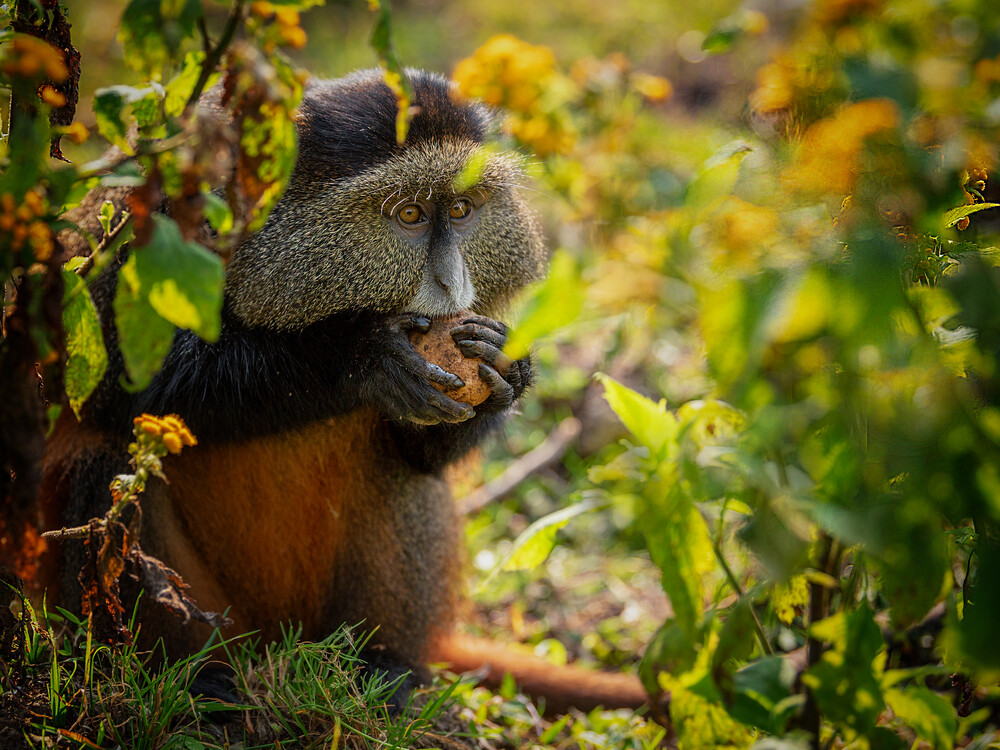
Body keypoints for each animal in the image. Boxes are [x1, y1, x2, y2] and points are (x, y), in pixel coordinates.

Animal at [37, 68, 651, 714]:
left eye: (461, 210)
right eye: (409, 215)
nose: (452, 282)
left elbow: (422, 458)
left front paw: (507, 372)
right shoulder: (129, 236)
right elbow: (116, 383)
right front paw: (361, 359)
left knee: (400, 479)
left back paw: (385, 667)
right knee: (108, 464)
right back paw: (193, 678)